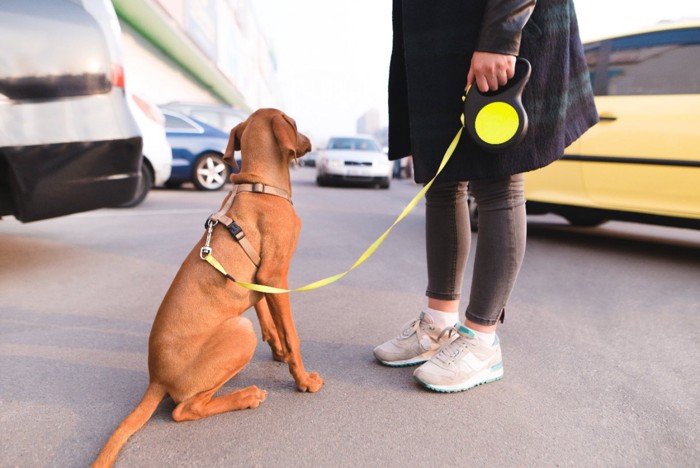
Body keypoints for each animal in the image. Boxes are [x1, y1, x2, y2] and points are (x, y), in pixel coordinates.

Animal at [91, 109, 322, 464]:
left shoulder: (260, 281)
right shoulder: (275, 275)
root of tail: (156, 378)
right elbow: (292, 334)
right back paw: (245, 396)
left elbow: (270, 320)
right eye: (294, 124)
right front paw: (303, 380)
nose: (312, 142)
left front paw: (279, 351)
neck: (260, 186)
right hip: (240, 331)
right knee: (185, 409)